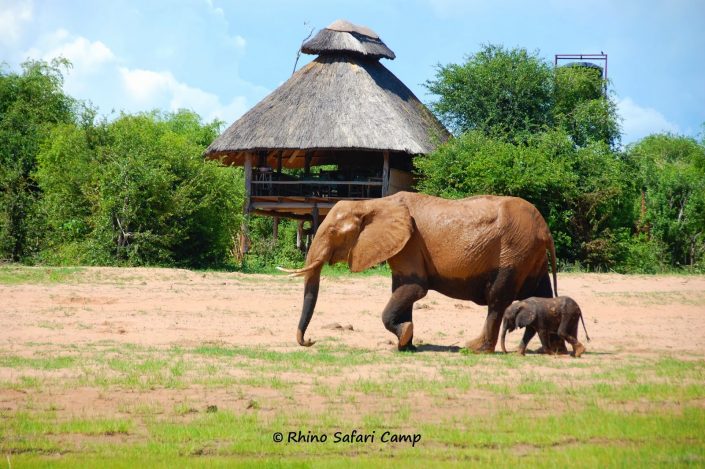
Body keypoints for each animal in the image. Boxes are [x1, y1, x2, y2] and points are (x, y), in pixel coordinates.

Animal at [280, 190, 556, 352]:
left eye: (333, 232)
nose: (310, 342)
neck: (372, 204)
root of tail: (545, 229)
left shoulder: (410, 242)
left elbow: (414, 288)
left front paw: (403, 339)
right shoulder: (403, 245)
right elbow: (403, 289)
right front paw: (407, 346)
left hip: (514, 252)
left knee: (497, 299)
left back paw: (475, 349)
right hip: (530, 255)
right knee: (542, 295)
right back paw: (551, 350)